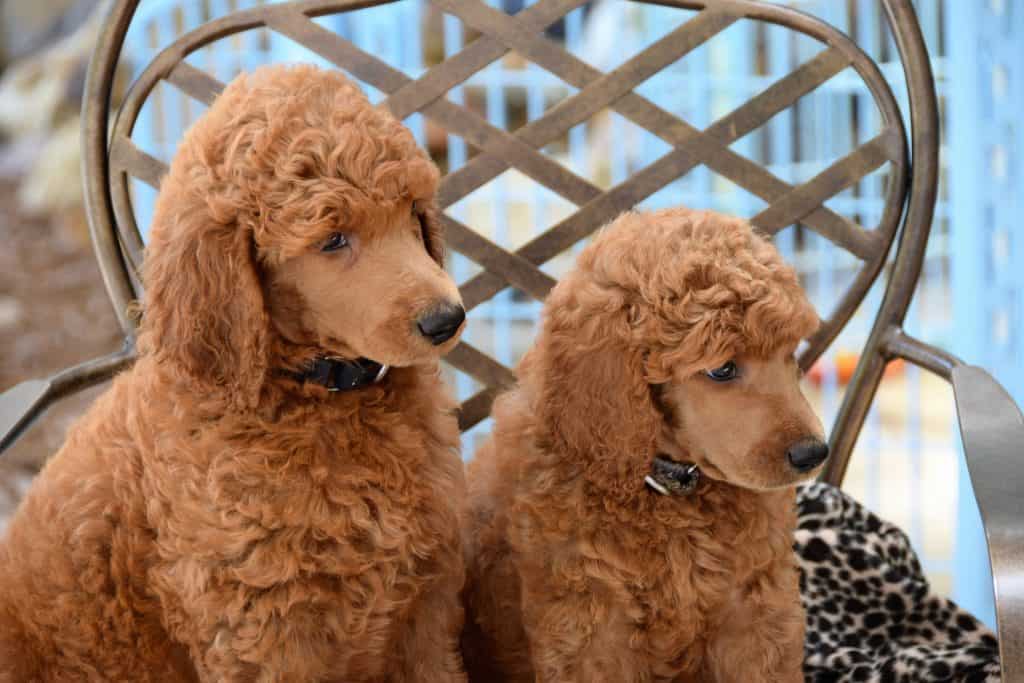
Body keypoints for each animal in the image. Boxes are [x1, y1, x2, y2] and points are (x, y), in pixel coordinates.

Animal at [0, 65, 468, 683]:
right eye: (332, 240)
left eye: (412, 211)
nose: (447, 319)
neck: (320, 396)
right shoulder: (264, 630)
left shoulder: (425, 607)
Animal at [460, 209, 827, 683]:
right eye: (723, 369)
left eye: (790, 355)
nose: (814, 453)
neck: (669, 492)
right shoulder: (592, 625)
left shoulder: (754, 609)